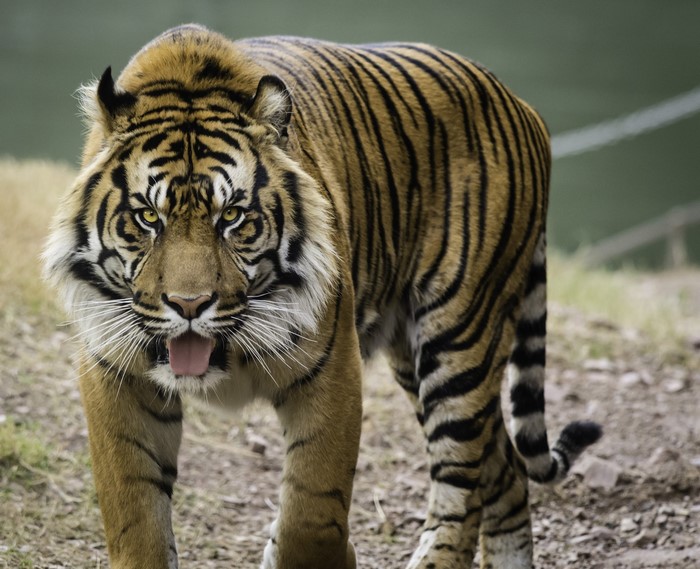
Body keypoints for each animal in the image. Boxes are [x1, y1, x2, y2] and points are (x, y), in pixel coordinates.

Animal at [43, 24, 601, 569]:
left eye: (232, 217)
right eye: (147, 217)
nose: (189, 305)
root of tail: (520, 104)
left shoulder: (332, 370)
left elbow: (310, 514)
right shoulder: (115, 375)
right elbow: (137, 519)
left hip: (459, 337)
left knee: (462, 490)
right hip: (414, 354)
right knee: (504, 469)